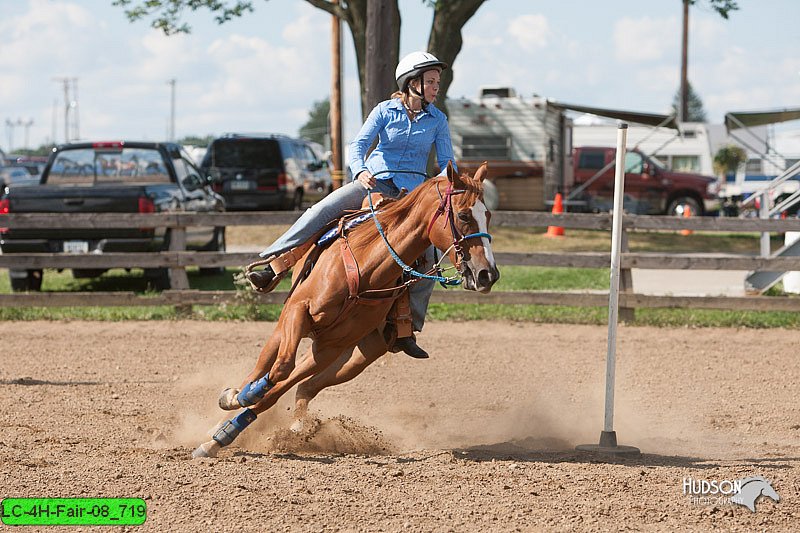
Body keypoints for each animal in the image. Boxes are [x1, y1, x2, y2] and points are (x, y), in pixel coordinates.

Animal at [191, 163, 496, 458]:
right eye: (464, 215)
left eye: (488, 215)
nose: (488, 275)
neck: (366, 269)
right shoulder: (298, 311)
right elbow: (280, 368)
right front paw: (236, 406)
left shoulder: (330, 347)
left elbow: (281, 387)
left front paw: (224, 435)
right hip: (287, 325)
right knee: (264, 367)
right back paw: (231, 402)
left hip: (358, 355)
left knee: (305, 386)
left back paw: (295, 427)